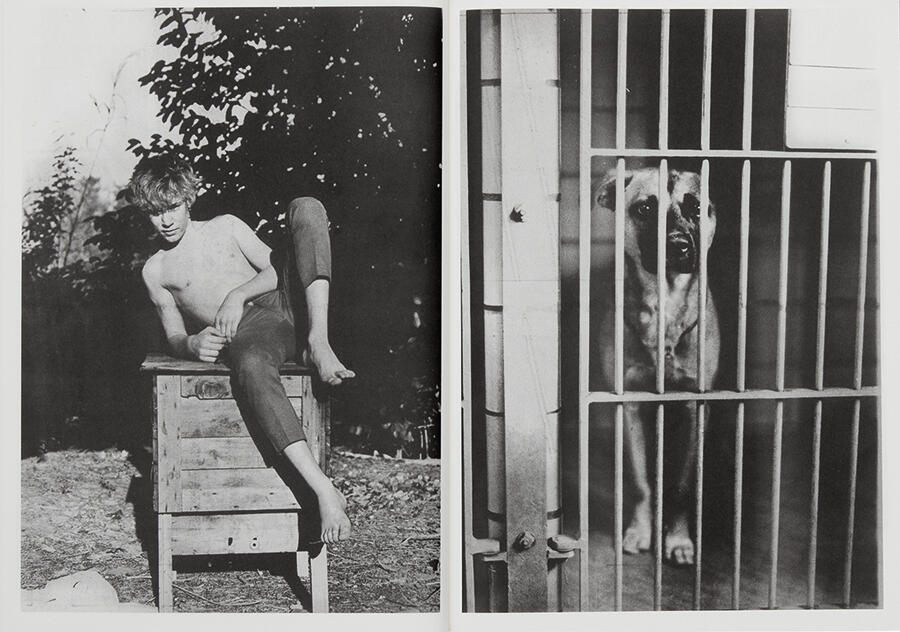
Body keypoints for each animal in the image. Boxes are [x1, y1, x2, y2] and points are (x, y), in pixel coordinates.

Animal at [596, 165, 720, 564]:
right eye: (645, 208)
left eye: (695, 207)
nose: (679, 245)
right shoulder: (629, 407)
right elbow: (639, 482)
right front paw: (640, 530)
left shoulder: (695, 408)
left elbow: (681, 486)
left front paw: (678, 539)